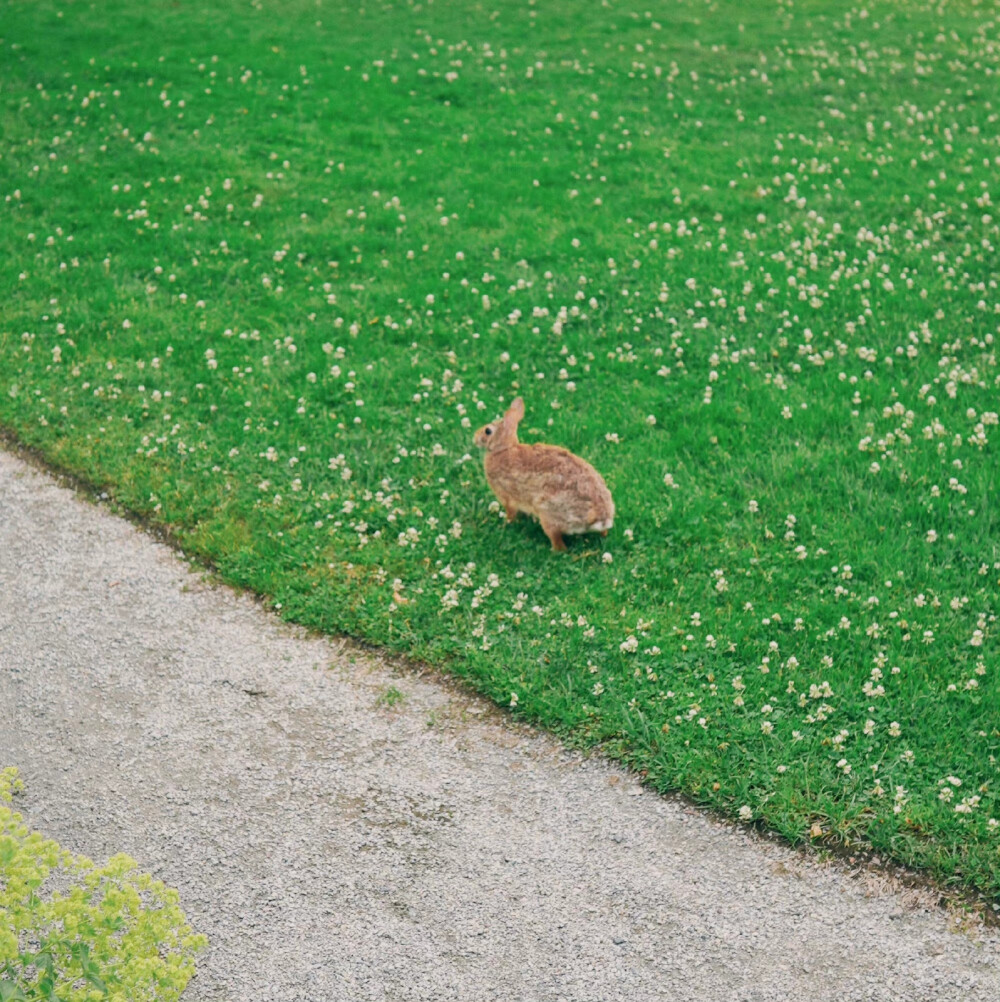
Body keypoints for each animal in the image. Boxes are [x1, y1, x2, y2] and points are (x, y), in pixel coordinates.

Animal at [472, 396, 613, 553]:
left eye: (487, 431)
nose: (474, 437)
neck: (503, 449)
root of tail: (600, 517)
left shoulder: (506, 496)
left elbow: (510, 512)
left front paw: (506, 523)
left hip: (547, 512)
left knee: (557, 541)